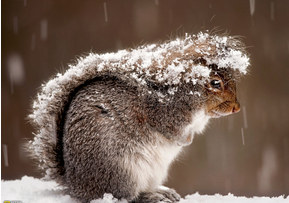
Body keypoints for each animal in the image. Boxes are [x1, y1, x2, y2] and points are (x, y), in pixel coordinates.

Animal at [26, 32, 248, 202]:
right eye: (215, 83)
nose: (237, 108)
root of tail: (76, 185)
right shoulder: (164, 115)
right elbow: (173, 132)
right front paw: (185, 141)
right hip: (121, 171)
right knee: (126, 196)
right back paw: (150, 196)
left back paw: (161, 191)